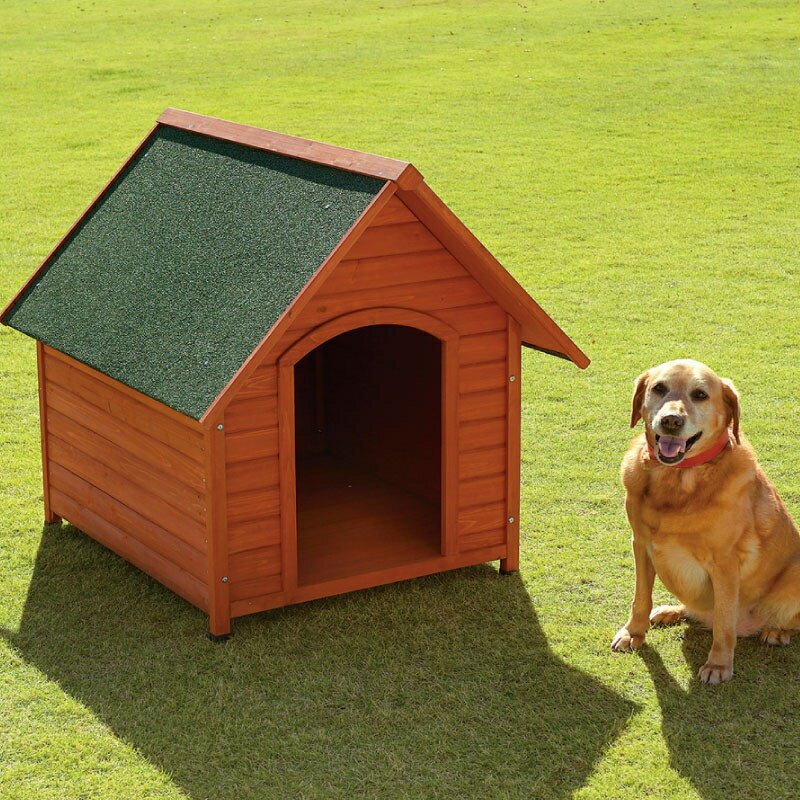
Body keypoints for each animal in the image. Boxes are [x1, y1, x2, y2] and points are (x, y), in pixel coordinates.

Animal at [608, 360, 800, 680]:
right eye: (659, 388)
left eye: (700, 394)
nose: (671, 421)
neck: (677, 481)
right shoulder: (641, 545)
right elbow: (640, 598)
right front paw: (634, 632)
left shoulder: (725, 564)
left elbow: (723, 621)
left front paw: (718, 664)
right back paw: (670, 610)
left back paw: (777, 631)